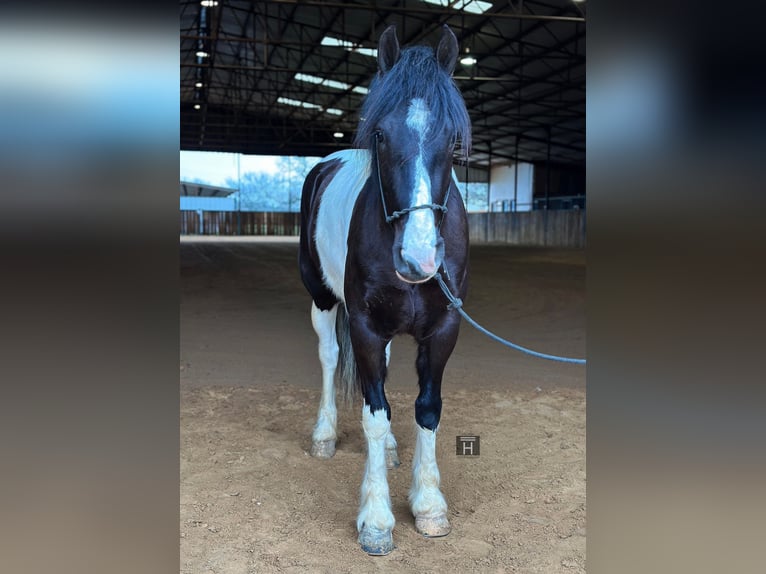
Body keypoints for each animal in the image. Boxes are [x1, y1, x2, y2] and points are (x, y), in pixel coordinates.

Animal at [302, 23, 474, 560]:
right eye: (380, 134)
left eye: (454, 140)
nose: (419, 259)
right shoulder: (364, 325)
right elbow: (374, 414)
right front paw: (377, 521)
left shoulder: (444, 328)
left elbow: (427, 409)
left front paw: (429, 505)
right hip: (321, 299)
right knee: (329, 357)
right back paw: (324, 434)